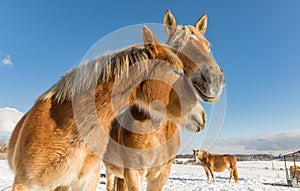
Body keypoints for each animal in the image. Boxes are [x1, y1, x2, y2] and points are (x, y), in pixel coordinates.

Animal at [104, 10, 224, 191]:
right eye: (177, 45)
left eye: (207, 45)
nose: (214, 79)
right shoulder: (133, 173)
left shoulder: (161, 175)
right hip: (111, 172)